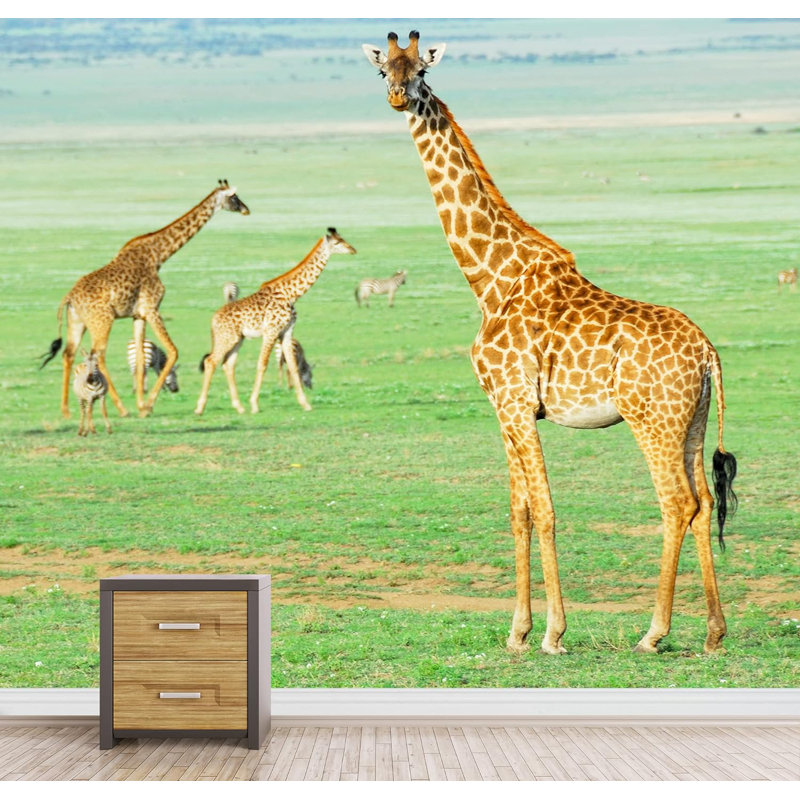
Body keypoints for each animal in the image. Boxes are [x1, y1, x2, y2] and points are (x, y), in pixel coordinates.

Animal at [40, 180, 250, 418]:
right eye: (234, 197)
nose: (246, 209)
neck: (158, 256)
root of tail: (69, 297)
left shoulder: (138, 315)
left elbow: (141, 359)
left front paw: (141, 404)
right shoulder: (152, 308)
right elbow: (173, 350)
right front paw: (148, 405)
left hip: (77, 322)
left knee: (68, 354)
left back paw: (65, 410)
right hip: (102, 321)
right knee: (98, 355)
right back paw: (121, 409)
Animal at [194, 228, 356, 415]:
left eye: (343, 238)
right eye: (337, 242)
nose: (353, 249)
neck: (291, 295)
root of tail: (213, 319)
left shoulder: (286, 332)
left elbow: (292, 366)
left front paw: (305, 404)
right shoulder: (271, 331)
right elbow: (262, 364)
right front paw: (254, 404)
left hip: (237, 339)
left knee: (228, 364)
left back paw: (239, 407)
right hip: (227, 337)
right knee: (210, 361)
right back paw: (200, 408)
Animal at [363, 31, 738, 655]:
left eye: (421, 70)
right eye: (382, 70)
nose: (397, 96)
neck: (489, 278)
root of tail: (708, 352)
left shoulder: (515, 401)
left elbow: (545, 509)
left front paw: (553, 633)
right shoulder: (504, 407)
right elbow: (518, 512)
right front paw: (517, 630)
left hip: (652, 419)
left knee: (676, 502)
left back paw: (654, 633)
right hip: (694, 418)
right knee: (705, 501)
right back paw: (712, 632)